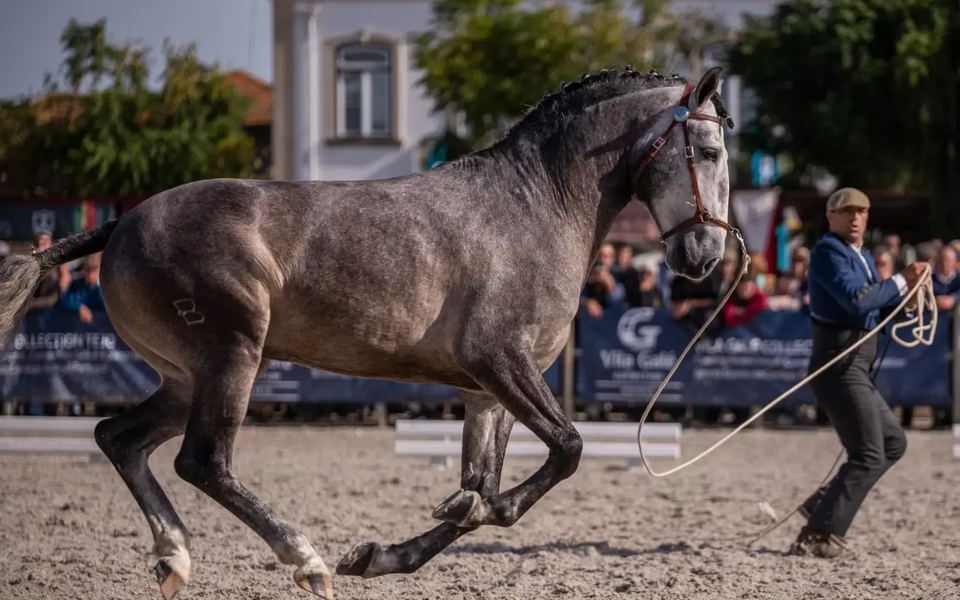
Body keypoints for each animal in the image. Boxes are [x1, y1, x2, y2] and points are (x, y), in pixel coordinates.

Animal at [0, 65, 736, 600]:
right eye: (707, 150)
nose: (703, 258)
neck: (537, 205)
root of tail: (122, 222)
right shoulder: (501, 361)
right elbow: (564, 453)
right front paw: (453, 516)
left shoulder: (488, 393)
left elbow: (487, 482)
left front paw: (387, 551)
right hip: (231, 358)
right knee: (201, 462)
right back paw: (305, 558)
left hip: (187, 377)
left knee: (118, 438)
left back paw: (176, 558)